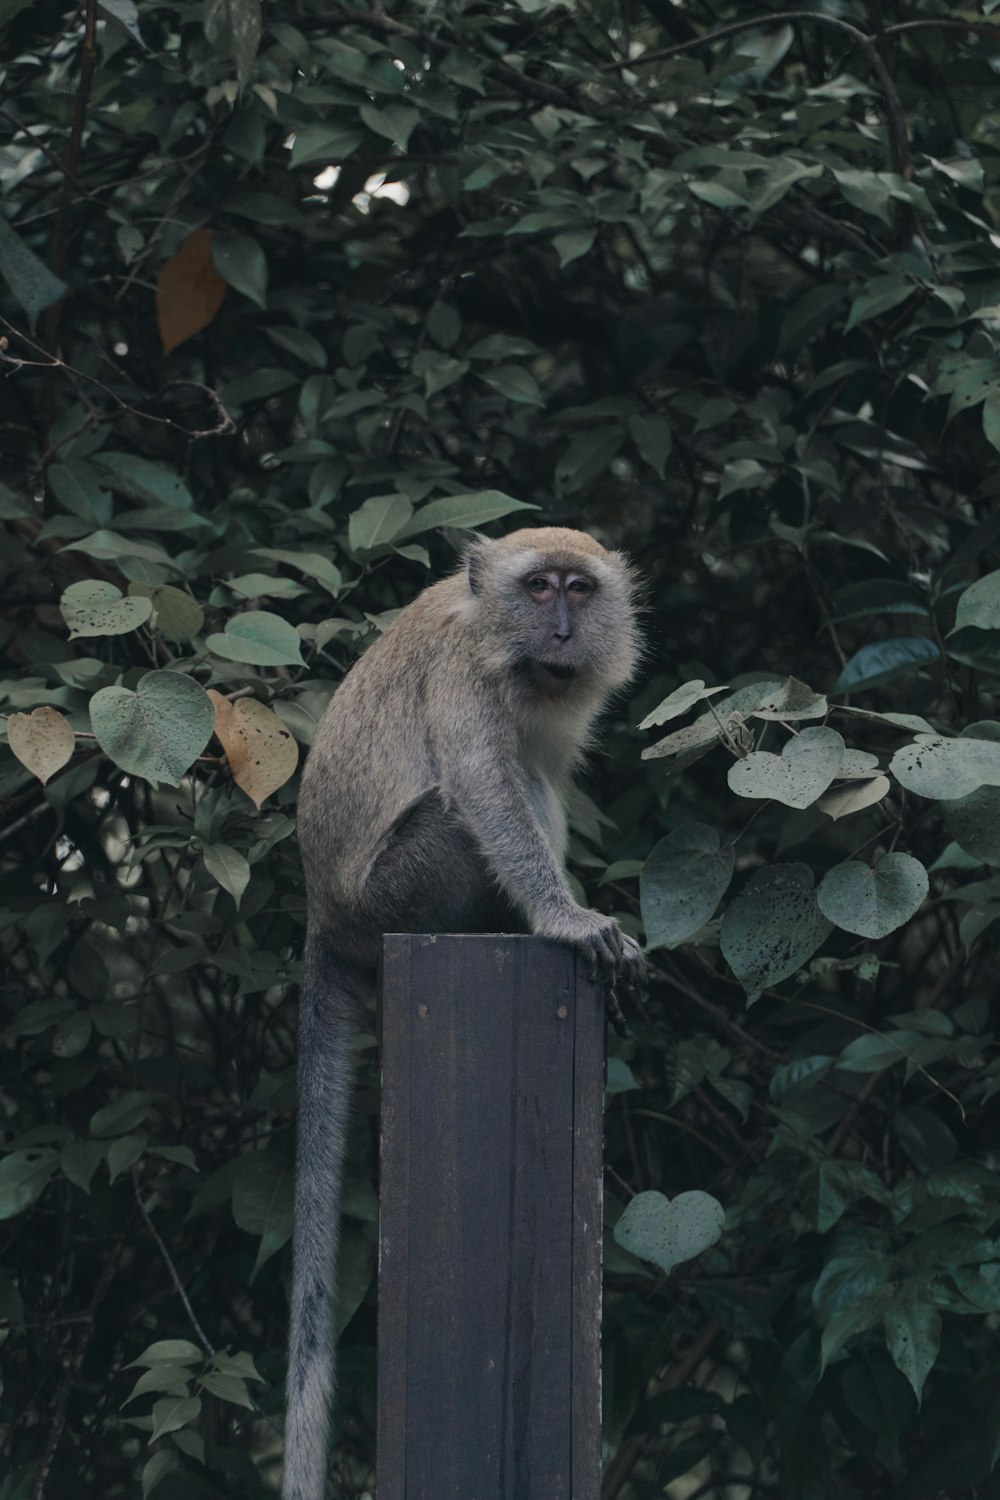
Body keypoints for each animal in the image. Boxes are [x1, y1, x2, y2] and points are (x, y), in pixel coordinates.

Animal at [281, 522, 644, 1494]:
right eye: (541, 587)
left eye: (579, 590)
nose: (562, 631)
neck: (496, 637)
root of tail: (324, 917)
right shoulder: (461, 677)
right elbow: (486, 789)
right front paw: (564, 918)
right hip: (397, 896)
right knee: (465, 804)